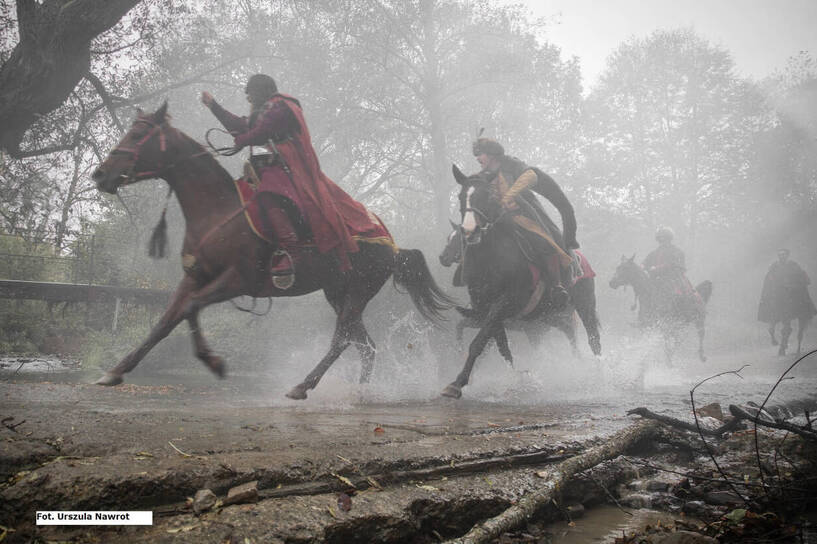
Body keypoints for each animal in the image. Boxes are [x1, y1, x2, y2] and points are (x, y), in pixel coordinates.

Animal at [94, 103, 460, 400]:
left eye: (137, 133)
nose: (100, 174)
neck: (218, 211)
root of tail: (393, 246)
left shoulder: (236, 281)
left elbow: (191, 308)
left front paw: (213, 362)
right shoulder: (196, 277)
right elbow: (167, 321)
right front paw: (116, 370)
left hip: (357, 291)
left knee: (342, 340)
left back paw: (303, 386)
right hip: (338, 293)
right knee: (365, 345)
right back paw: (360, 392)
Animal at [440, 222, 600, 356]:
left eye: (462, 238)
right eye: (449, 237)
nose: (443, 257)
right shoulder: (484, 318)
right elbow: (462, 326)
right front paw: (459, 349)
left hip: (583, 307)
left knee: (593, 339)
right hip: (553, 318)